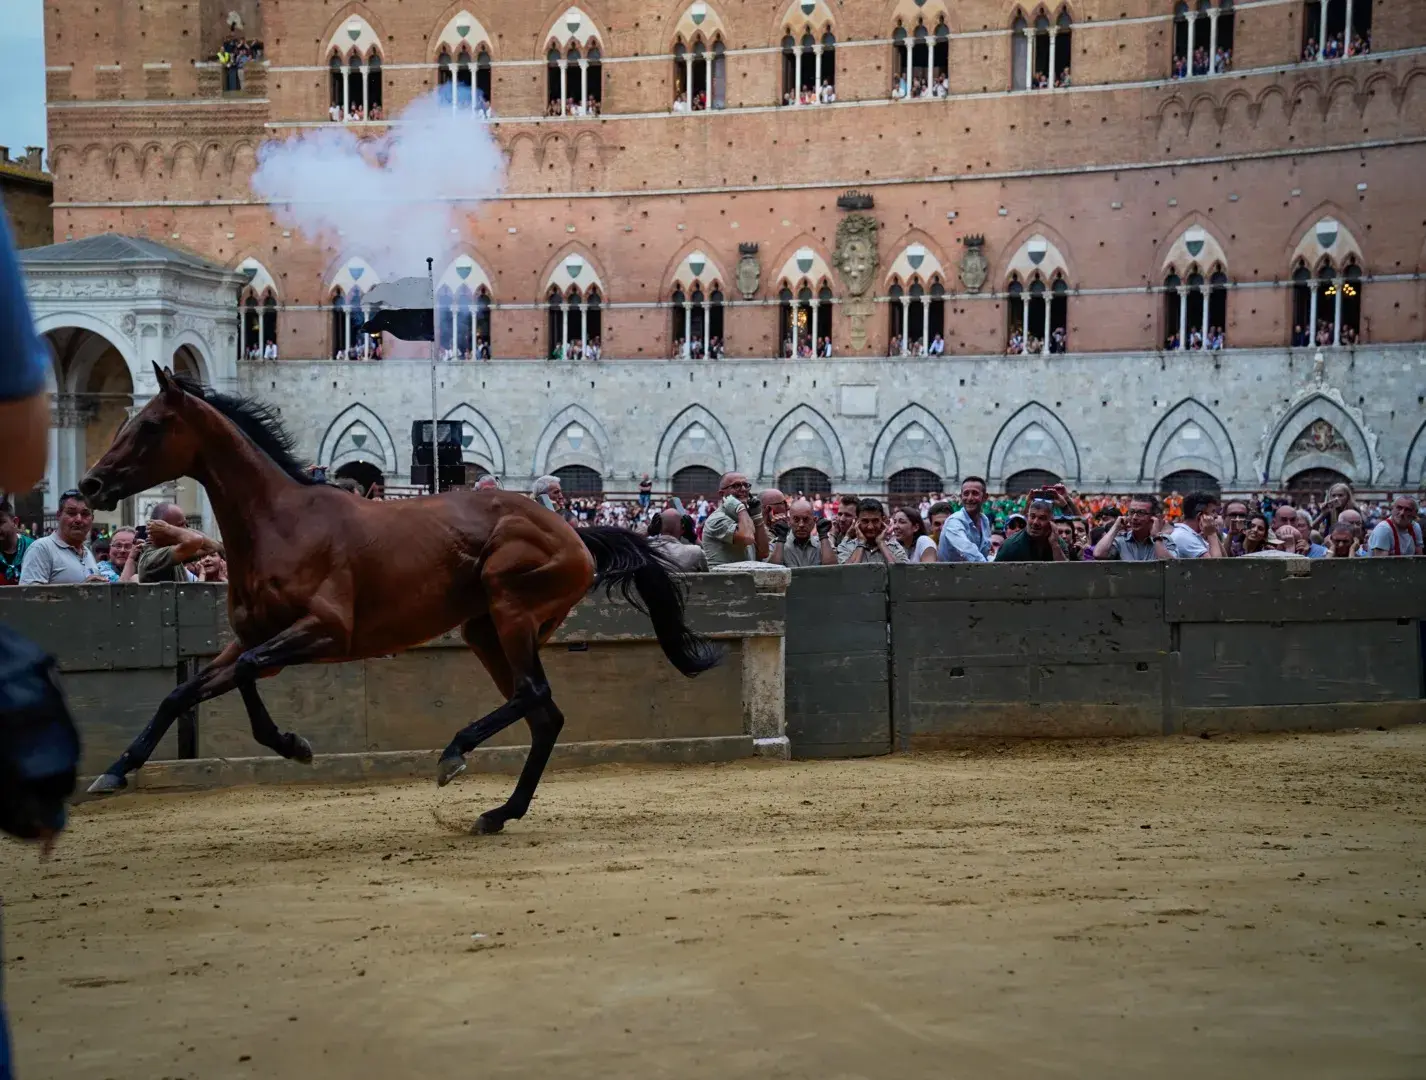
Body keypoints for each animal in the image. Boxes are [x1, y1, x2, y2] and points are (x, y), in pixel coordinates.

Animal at [78, 365, 718, 827]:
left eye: (151, 425)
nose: (90, 483)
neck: (280, 524)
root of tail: (575, 533)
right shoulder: (253, 638)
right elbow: (185, 691)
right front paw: (114, 771)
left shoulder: (324, 631)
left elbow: (250, 674)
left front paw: (293, 743)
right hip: (484, 629)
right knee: (545, 715)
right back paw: (500, 813)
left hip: (509, 607)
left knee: (535, 694)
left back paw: (456, 753)